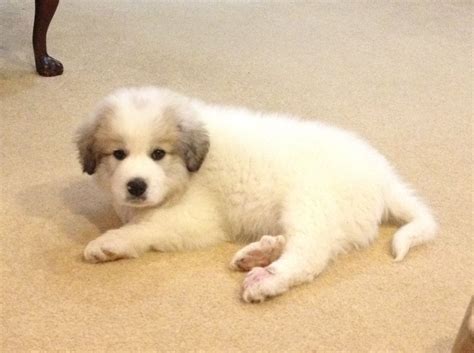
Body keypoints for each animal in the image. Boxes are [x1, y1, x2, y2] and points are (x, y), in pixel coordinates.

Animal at [75, 86, 436, 302]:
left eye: (158, 154)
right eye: (118, 154)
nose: (136, 185)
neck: (191, 170)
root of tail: (384, 177)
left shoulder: (197, 219)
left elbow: (145, 226)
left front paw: (109, 242)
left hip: (312, 204)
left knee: (308, 255)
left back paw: (267, 279)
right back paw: (259, 252)